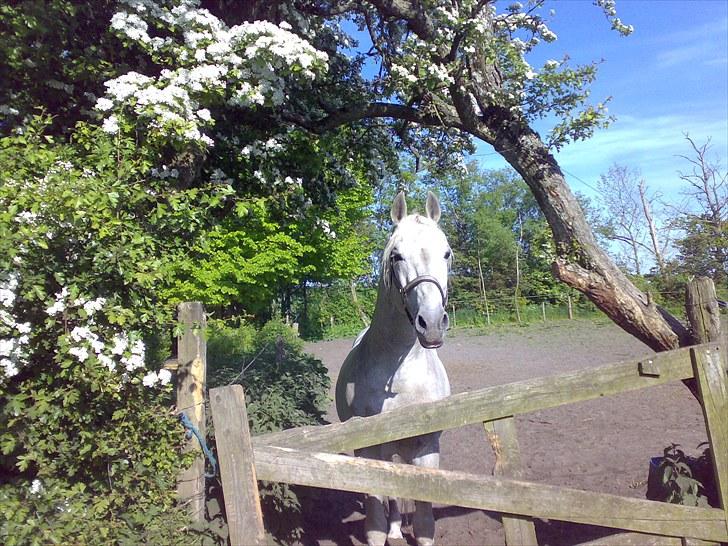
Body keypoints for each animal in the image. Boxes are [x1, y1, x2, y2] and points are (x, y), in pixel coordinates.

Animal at [336, 190, 450, 544]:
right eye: (396, 256)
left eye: (447, 253)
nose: (432, 324)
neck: (402, 375)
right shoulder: (368, 451)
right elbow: (374, 523)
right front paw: (387, 530)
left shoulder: (427, 448)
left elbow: (425, 525)